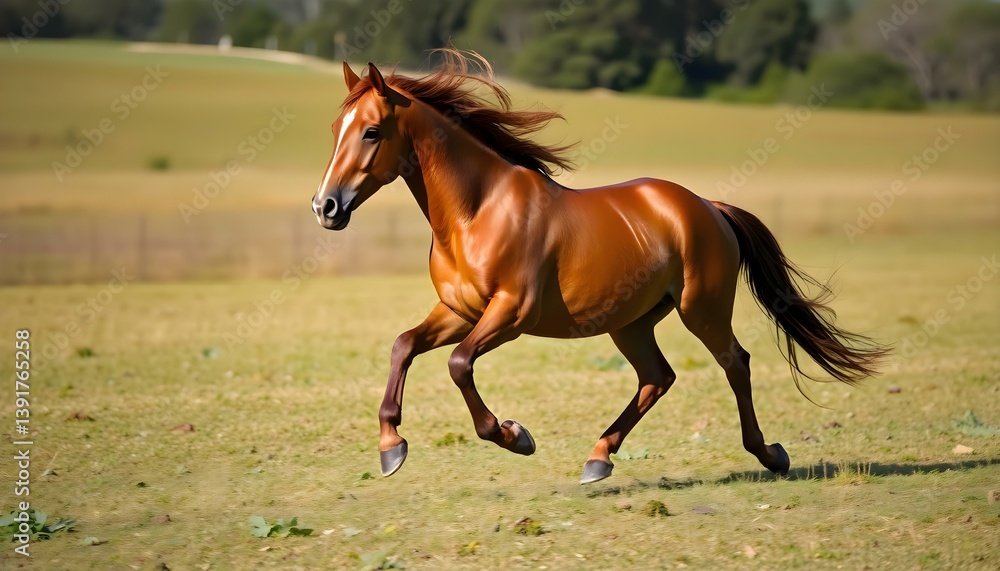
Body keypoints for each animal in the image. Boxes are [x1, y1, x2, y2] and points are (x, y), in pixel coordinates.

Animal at [310, 50, 887, 484]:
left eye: (371, 132)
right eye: (335, 127)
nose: (326, 207)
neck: (478, 212)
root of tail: (707, 206)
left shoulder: (510, 313)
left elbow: (457, 364)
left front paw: (515, 436)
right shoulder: (458, 310)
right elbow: (404, 346)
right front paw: (391, 446)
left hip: (701, 310)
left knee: (735, 363)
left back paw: (770, 455)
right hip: (629, 324)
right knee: (657, 377)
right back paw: (598, 458)